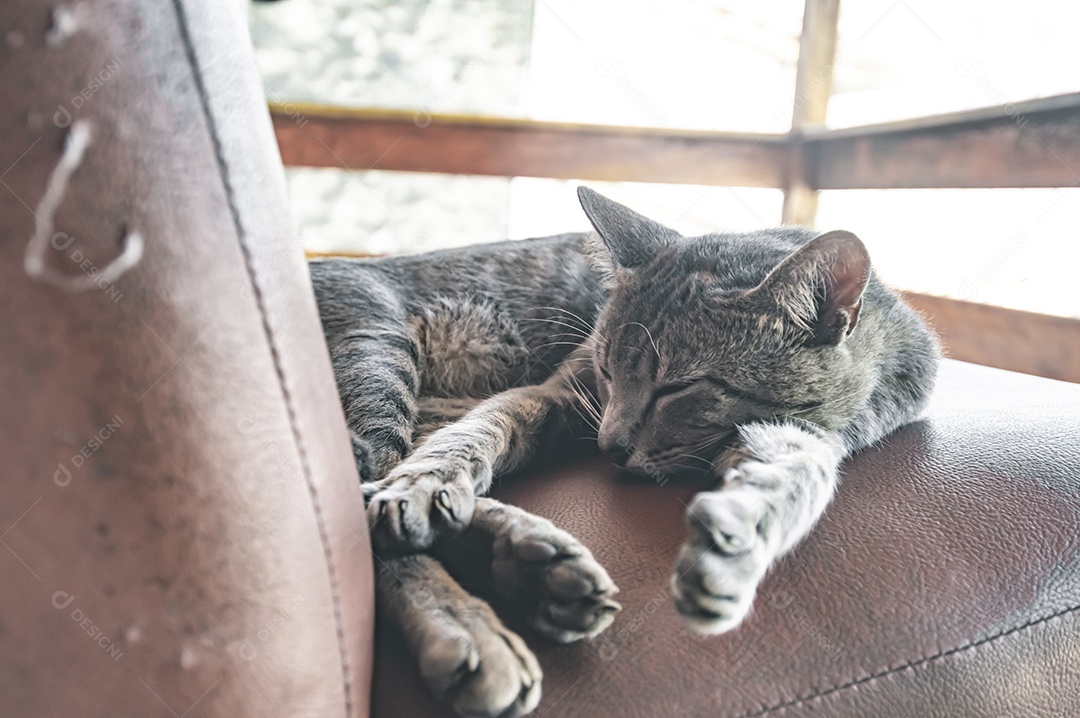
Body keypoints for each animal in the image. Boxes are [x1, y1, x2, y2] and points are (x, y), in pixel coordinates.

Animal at [311, 187, 937, 712]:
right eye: (609, 369)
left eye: (677, 388)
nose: (609, 446)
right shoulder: (557, 391)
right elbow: (480, 431)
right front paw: (430, 483)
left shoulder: (802, 436)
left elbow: (793, 479)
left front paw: (733, 551)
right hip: (378, 358)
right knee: (365, 506)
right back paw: (469, 618)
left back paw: (528, 566)